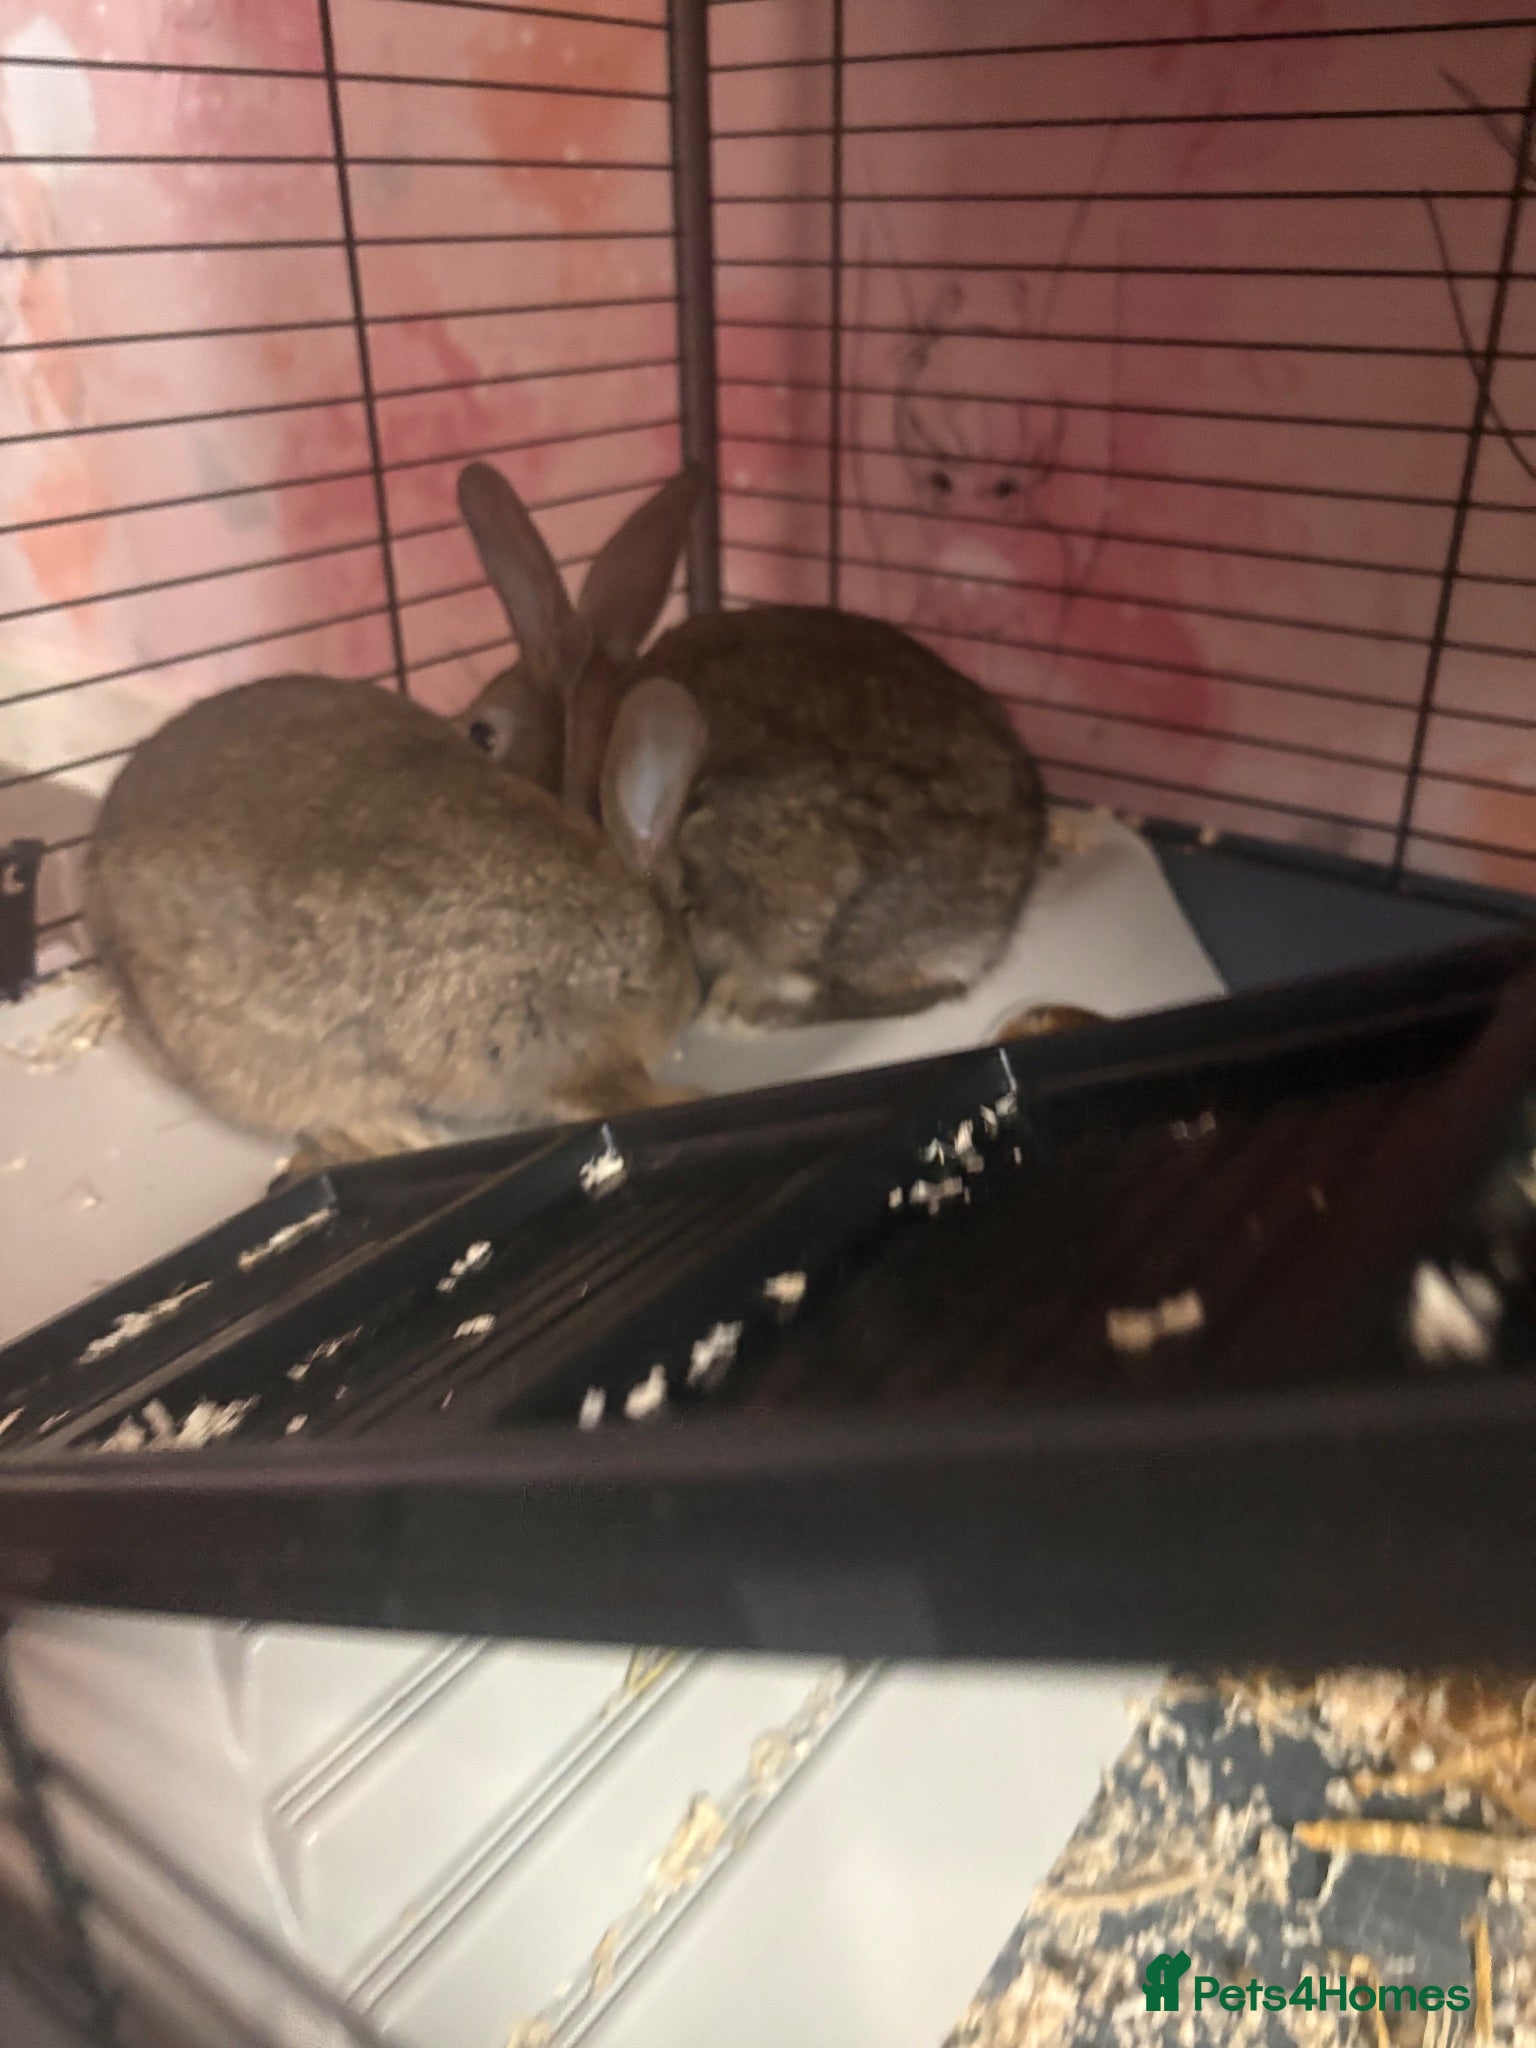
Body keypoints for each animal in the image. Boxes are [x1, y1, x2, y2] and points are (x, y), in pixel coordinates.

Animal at [83, 668, 707, 1173]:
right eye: (688, 907)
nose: (697, 995)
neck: (630, 925)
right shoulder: (567, 1050)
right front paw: (686, 1097)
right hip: (285, 1064)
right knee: (334, 1113)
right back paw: (416, 1139)